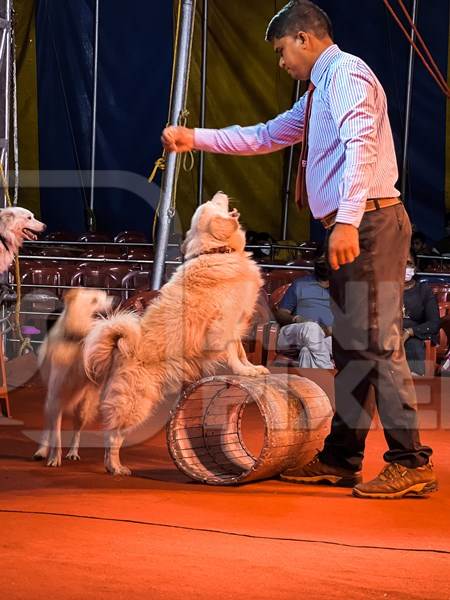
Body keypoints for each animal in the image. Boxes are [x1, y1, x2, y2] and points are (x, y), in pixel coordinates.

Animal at [33, 288, 113, 466]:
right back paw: (42, 450)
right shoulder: (55, 397)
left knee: (77, 431)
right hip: (51, 403)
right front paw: (54, 458)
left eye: (105, 296)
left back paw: (73, 452)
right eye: (95, 300)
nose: (116, 299)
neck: (77, 339)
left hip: (82, 408)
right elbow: (55, 435)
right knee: (48, 426)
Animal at [82, 191, 268, 474]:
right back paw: (116, 467)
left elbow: (242, 353)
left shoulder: (235, 326)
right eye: (214, 204)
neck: (216, 252)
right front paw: (243, 372)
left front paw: (252, 369)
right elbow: (233, 355)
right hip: (136, 404)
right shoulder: (223, 326)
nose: (220, 193)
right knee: (112, 436)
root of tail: (123, 348)